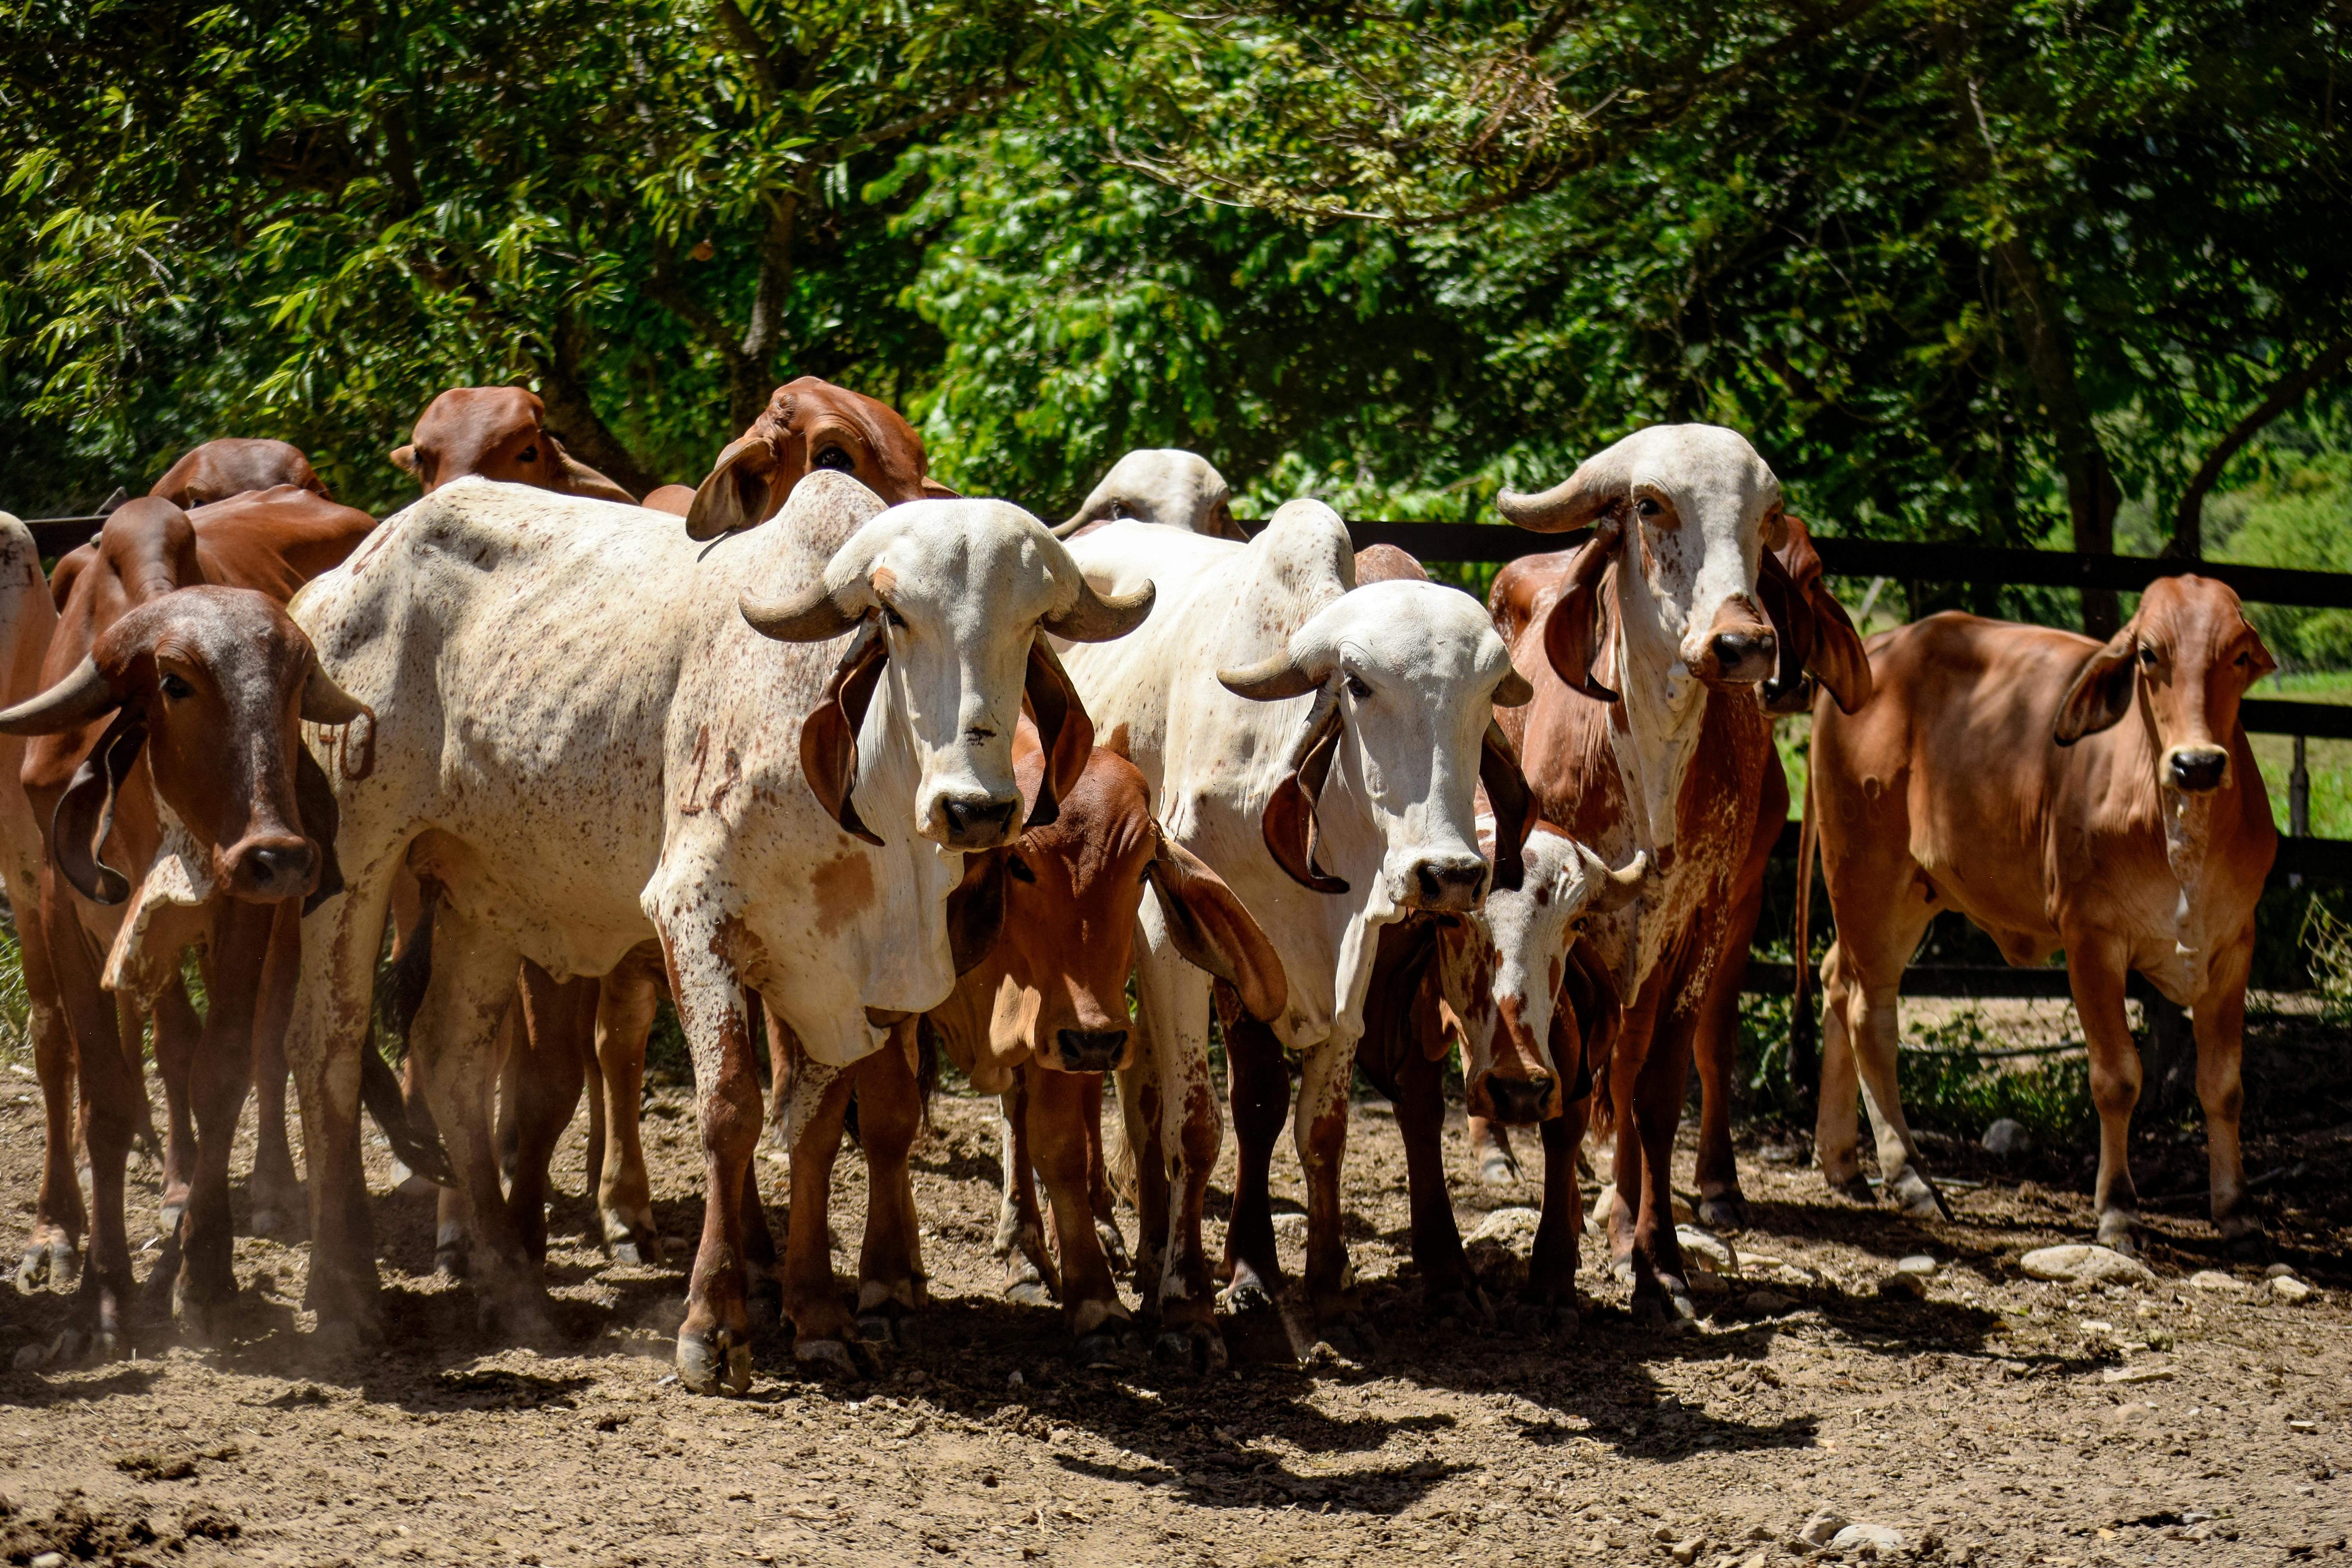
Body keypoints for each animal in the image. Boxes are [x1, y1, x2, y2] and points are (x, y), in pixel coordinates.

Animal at [1, 493, 374, 1355]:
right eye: (175, 682)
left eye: (297, 686)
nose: (280, 855)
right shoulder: (60, 911)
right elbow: (108, 1094)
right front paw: (102, 1295)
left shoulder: (243, 910)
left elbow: (222, 1070)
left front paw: (206, 1273)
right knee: (121, 1046)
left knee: (272, 1040)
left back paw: (275, 1191)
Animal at [280, 473, 1151, 1393]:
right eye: (895, 614)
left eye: (1034, 621)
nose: (975, 808)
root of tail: (340, 580)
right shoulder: (693, 917)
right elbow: (731, 1112)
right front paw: (714, 1322)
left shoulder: (836, 981)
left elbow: (810, 1130)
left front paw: (819, 1317)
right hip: (356, 861)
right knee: (328, 1045)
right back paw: (343, 1295)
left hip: (480, 887)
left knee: (453, 1057)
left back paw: (515, 1290)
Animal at [1053, 501, 1530, 1365]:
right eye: (1359, 684)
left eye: (1485, 698)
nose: (1449, 873)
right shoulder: (1174, 942)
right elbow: (1198, 1125)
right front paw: (1188, 1308)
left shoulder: (1352, 963)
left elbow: (1322, 1129)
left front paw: (1331, 1294)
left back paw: (1150, 1245)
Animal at [1489, 425, 1869, 1319]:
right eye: (1651, 503)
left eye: (1766, 515)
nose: (1744, 645)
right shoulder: (1572, 926)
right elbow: (1568, 1092)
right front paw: (1556, 1261)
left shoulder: (1703, 920)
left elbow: (1657, 1092)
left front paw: (1658, 1260)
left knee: (1629, 1070)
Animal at [1803, 575, 2277, 1254]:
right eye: (2149, 655)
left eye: (2238, 654)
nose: (2198, 764)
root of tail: (1876, 650)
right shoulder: (2091, 938)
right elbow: (2117, 1078)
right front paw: (2118, 1209)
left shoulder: (2234, 943)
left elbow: (2223, 1085)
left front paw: (2236, 1210)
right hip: (1866, 874)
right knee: (1871, 1014)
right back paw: (1911, 1176)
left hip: (1911, 893)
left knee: (1838, 980)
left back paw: (1842, 1162)